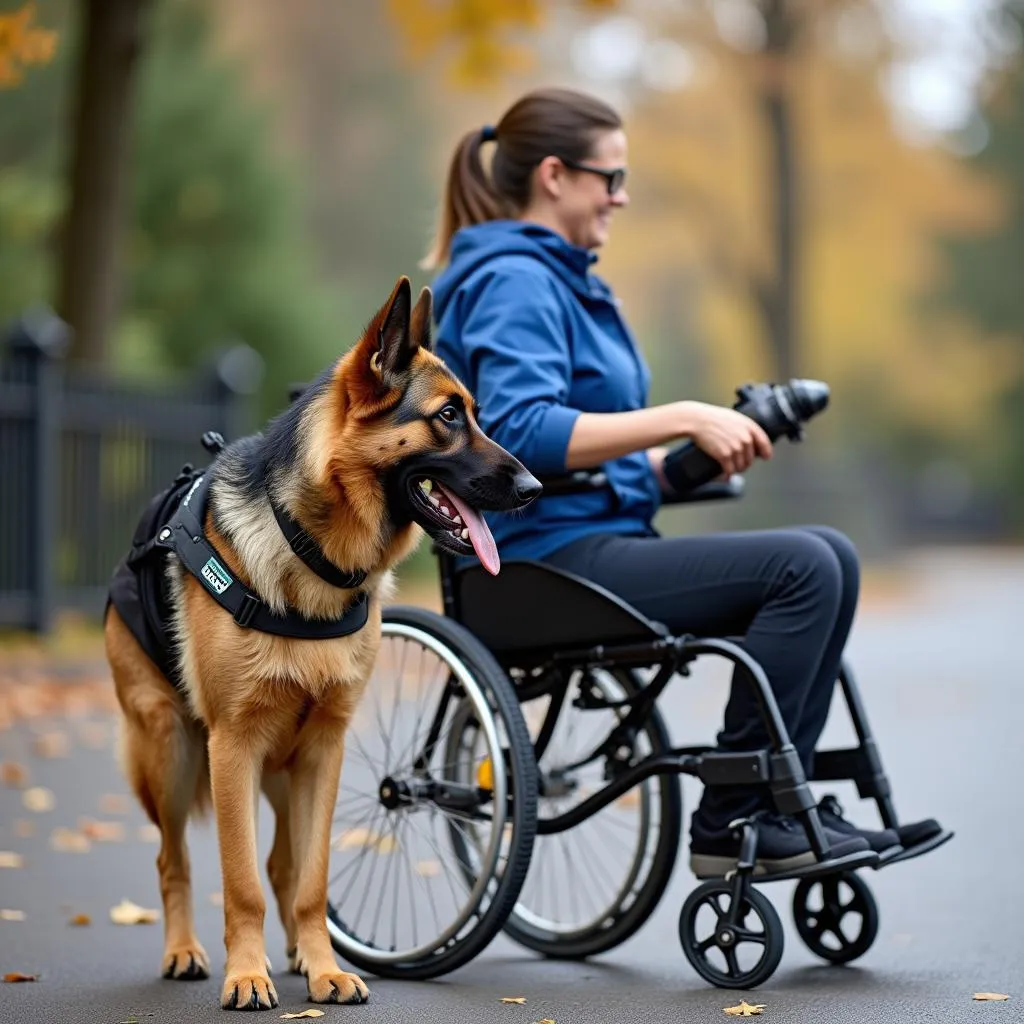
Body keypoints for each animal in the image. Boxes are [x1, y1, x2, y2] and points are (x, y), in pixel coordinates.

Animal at [103, 276, 544, 1011]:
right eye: (449, 416)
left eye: (475, 415)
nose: (535, 487)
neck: (309, 550)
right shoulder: (233, 747)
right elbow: (242, 883)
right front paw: (245, 976)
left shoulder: (322, 752)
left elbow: (309, 879)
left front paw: (323, 968)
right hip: (172, 749)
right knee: (175, 858)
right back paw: (186, 951)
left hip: (282, 769)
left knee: (283, 863)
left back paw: (294, 955)